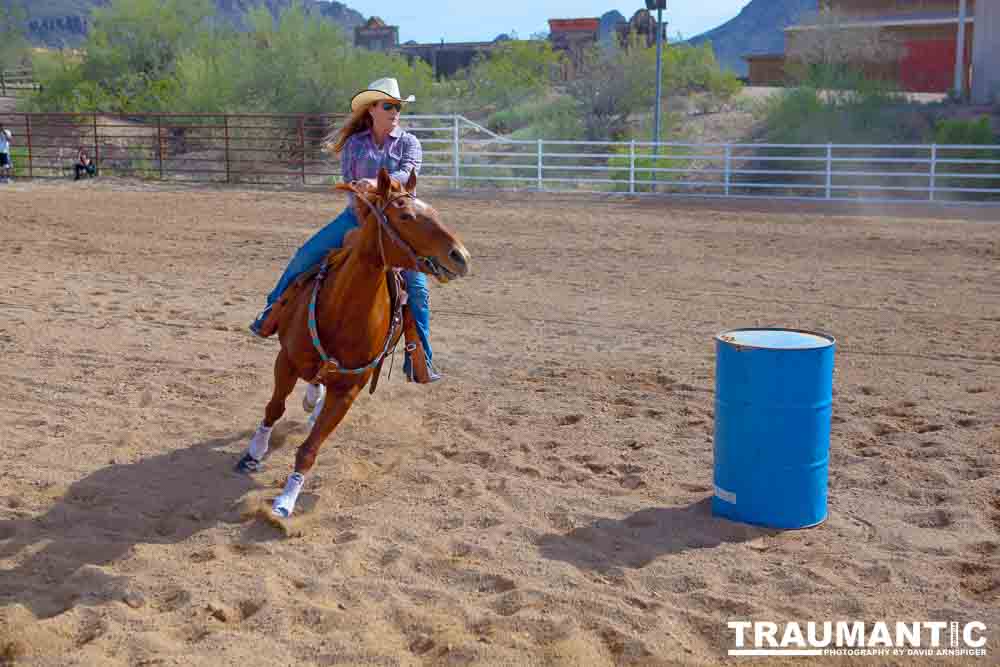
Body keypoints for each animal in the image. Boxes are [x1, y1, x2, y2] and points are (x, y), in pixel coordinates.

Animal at [236, 166, 470, 516]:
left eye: (435, 212)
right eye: (405, 216)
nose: (461, 256)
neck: (342, 310)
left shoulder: (349, 391)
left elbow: (310, 448)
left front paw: (285, 502)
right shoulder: (286, 361)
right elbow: (274, 408)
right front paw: (253, 453)